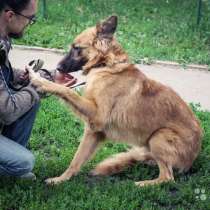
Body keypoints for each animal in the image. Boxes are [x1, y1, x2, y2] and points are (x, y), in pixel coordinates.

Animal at [28, 16, 203, 187]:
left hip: (159, 136)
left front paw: (41, 81)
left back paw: (141, 184)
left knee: (167, 177)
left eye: (76, 48)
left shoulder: (97, 116)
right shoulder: (94, 131)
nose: (58, 67)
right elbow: (76, 160)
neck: (105, 65)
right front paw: (61, 179)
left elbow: (68, 91)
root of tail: (193, 158)